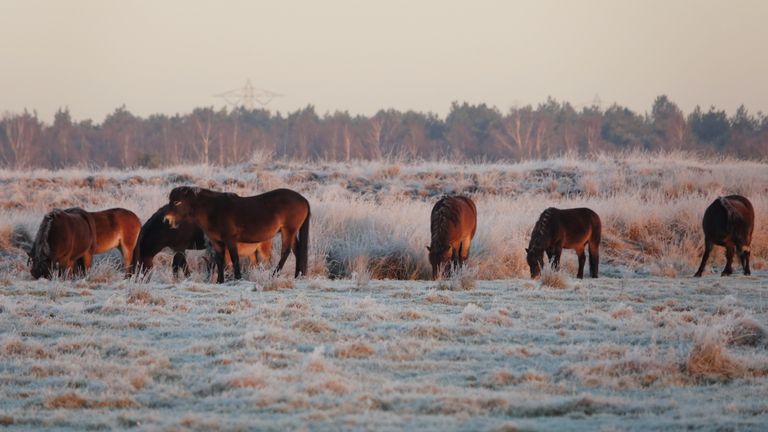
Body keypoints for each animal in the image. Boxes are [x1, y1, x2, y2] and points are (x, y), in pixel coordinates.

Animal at [135, 204, 272, 278]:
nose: (141, 277)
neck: (166, 226)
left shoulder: (180, 247)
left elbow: (178, 265)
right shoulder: (177, 248)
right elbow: (180, 264)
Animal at [164, 186, 310, 282]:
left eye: (177, 201)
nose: (167, 220)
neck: (214, 210)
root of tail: (303, 199)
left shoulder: (230, 240)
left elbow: (234, 258)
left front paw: (238, 278)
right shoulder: (216, 242)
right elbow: (220, 260)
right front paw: (220, 281)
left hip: (288, 230)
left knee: (286, 252)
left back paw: (274, 275)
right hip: (291, 232)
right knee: (297, 250)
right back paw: (298, 275)